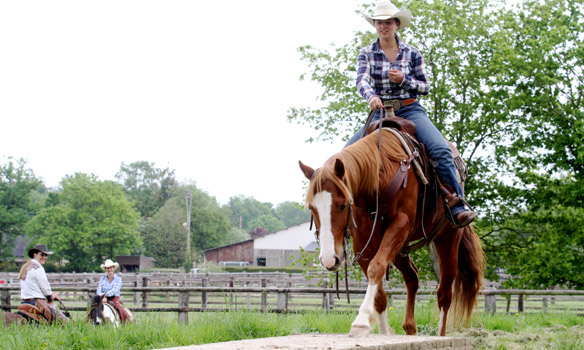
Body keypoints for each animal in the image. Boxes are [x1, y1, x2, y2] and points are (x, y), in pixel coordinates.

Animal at [298, 126, 486, 336]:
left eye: (342, 205)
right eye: (312, 207)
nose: (329, 259)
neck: (378, 177)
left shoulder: (400, 225)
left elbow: (376, 267)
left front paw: (361, 321)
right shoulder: (363, 241)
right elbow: (379, 294)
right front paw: (383, 332)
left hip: (448, 238)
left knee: (444, 294)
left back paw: (440, 334)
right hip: (399, 249)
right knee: (412, 277)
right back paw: (410, 327)